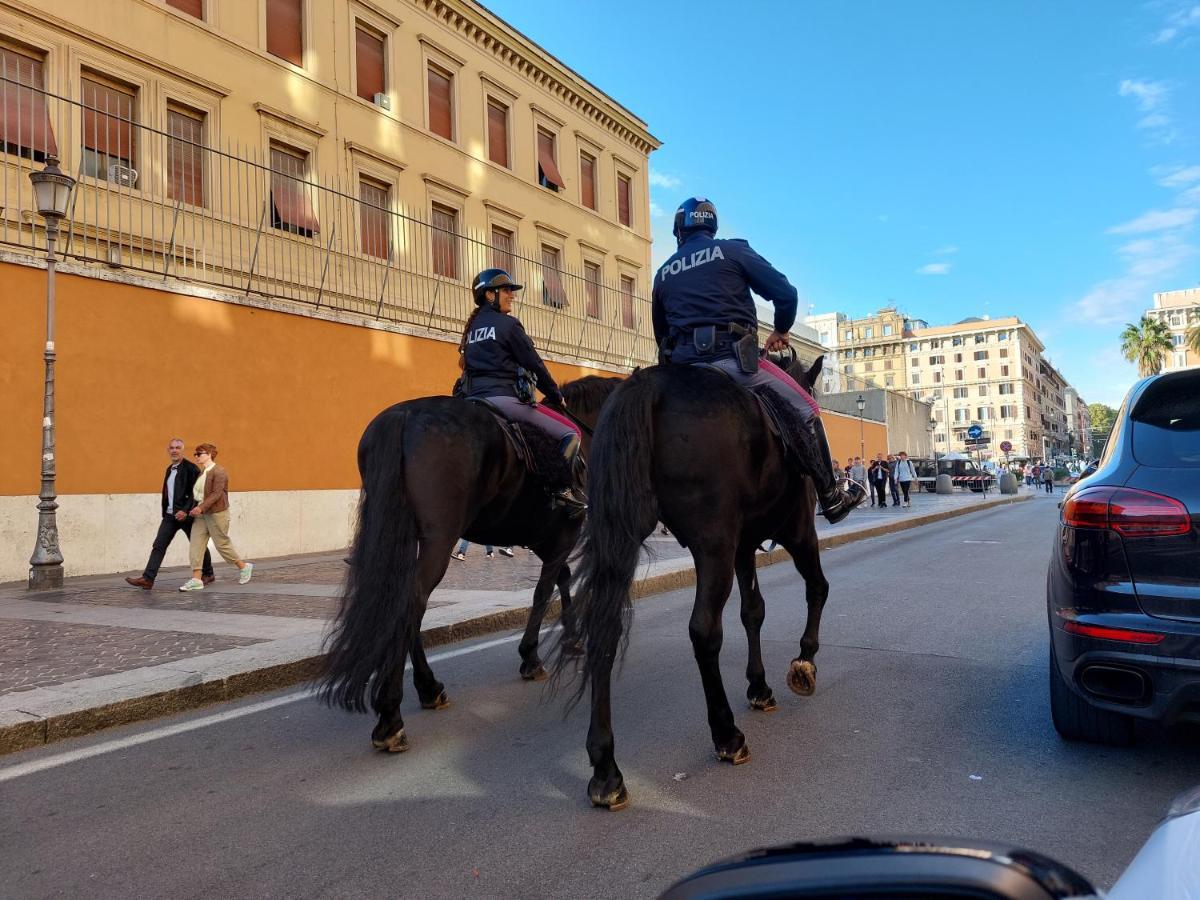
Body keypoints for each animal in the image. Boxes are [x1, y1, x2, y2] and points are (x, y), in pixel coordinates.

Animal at [319, 374, 619, 753]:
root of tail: (403, 416)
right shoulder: (563, 534)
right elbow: (543, 592)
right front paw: (531, 656)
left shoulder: (544, 539)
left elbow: (560, 580)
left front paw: (572, 637)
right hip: (440, 538)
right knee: (412, 602)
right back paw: (392, 716)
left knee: (407, 601)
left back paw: (428, 688)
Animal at [561, 355, 835, 816]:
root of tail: (648, 384)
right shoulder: (797, 531)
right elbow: (817, 588)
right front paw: (804, 661)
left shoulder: (744, 546)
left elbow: (753, 612)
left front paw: (759, 686)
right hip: (715, 545)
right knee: (704, 631)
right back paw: (726, 735)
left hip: (622, 534)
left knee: (605, 630)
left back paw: (605, 770)